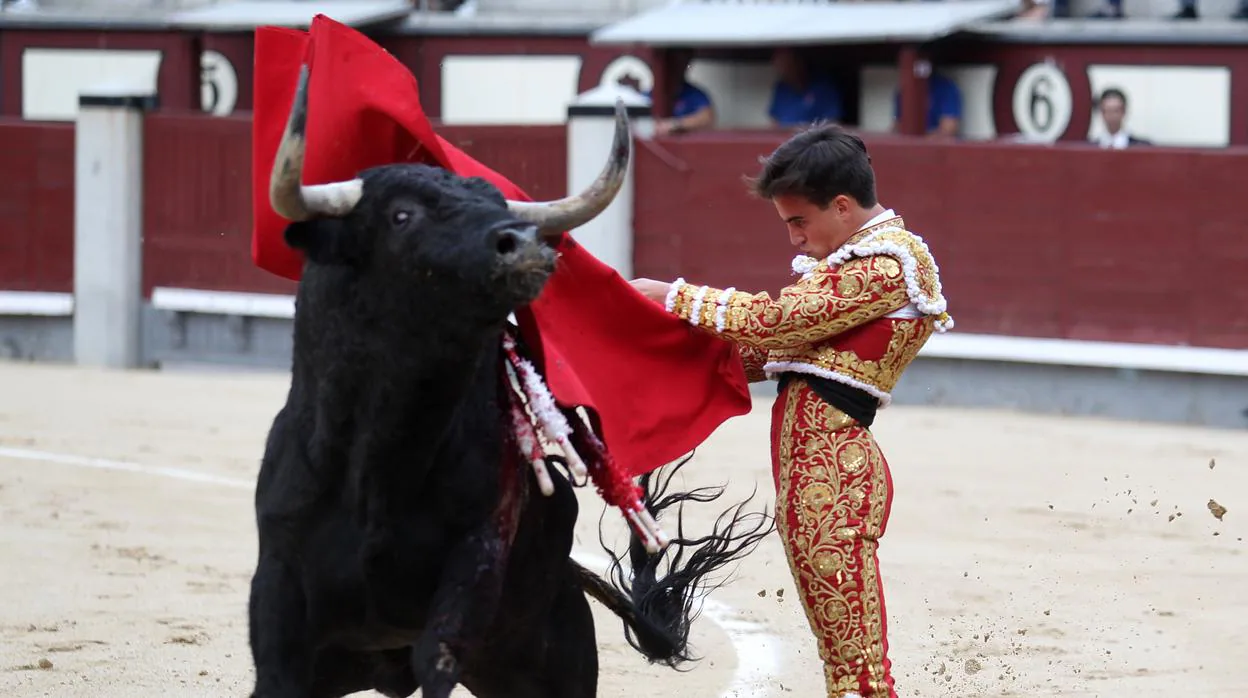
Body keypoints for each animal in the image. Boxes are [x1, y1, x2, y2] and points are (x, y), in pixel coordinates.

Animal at [245, 65, 768, 698]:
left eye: (496, 203)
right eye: (401, 214)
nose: (525, 246)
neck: (382, 461)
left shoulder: (474, 566)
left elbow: (439, 657)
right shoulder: (278, 593)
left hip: (547, 665)